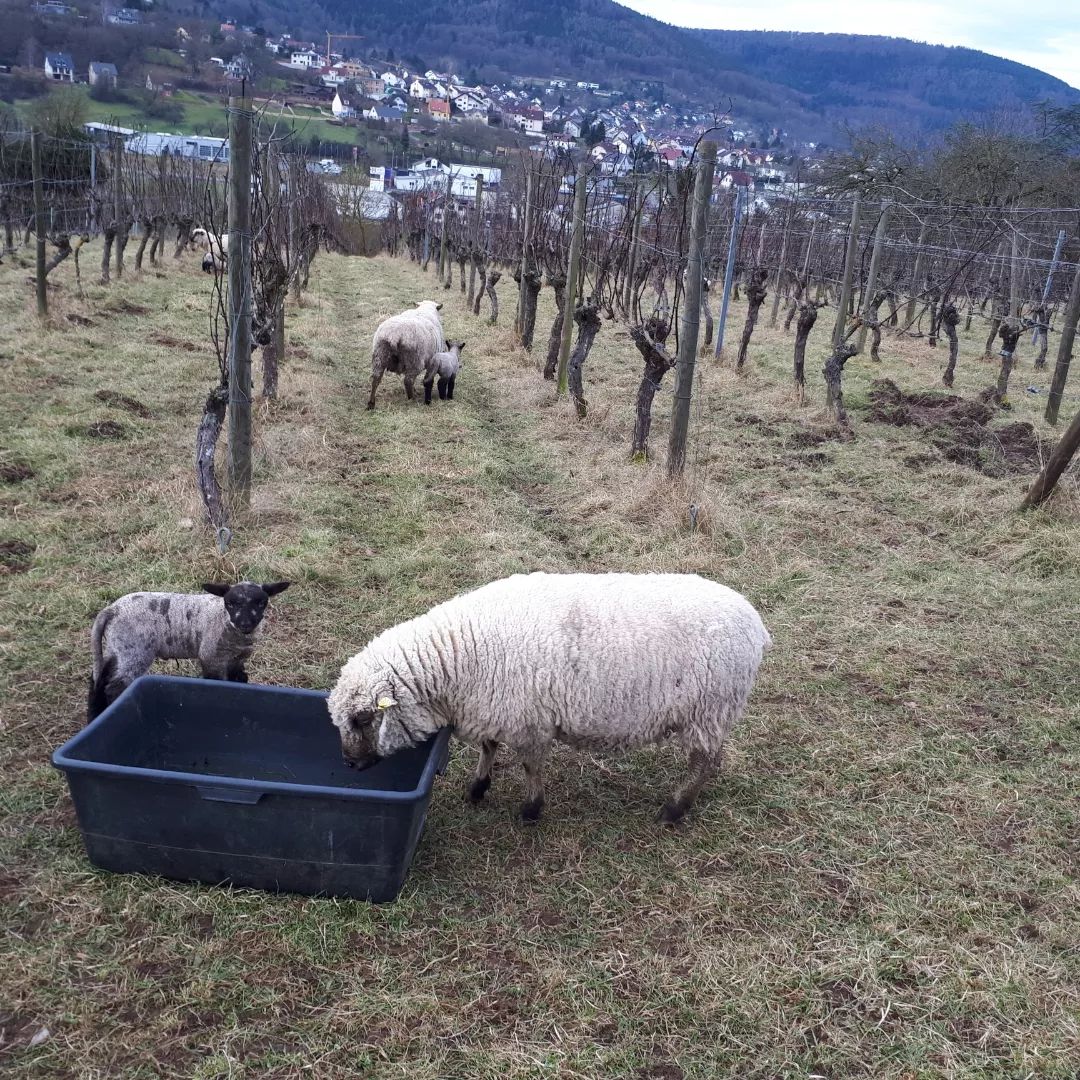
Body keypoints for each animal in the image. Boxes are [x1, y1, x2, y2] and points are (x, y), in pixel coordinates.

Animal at [87, 581, 290, 722]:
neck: (222, 618)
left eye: (261, 603)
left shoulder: (236, 660)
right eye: (230, 603)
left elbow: (239, 680)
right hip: (134, 653)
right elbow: (217, 684)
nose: (245, 624)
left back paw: (96, 715)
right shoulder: (211, 657)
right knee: (113, 687)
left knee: (99, 680)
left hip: (117, 649)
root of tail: (111, 610)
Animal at [328, 572, 771, 824]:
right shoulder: (494, 708)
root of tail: (756, 625)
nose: (348, 764)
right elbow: (489, 748)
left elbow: (530, 766)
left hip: (710, 709)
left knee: (704, 762)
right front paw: (478, 788)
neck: (459, 654)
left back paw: (675, 810)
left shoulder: (527, 720)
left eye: (364, 718)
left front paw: (530, 811)